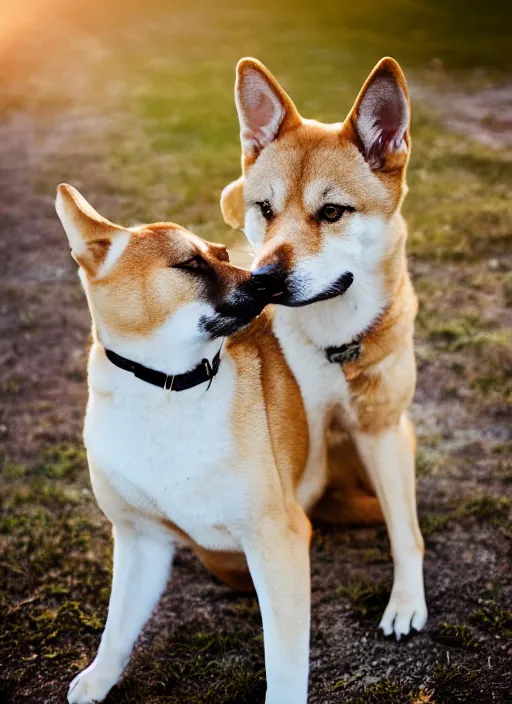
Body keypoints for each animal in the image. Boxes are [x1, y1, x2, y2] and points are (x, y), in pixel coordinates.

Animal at [56, 184, 312, 700]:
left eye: (222, 254)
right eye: (190, 264)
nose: (266, 282)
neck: (167, 391)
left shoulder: (278, 540)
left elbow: (285, 662)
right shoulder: (140, 540)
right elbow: (117, 626)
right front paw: (99, 677)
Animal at [222, 56, 426, 640]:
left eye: (332, 212)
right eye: (265, 209)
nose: (262, 280)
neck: (336, 344)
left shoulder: (380, 430)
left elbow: (406, 532)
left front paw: (406, 602)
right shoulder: (299, 436)